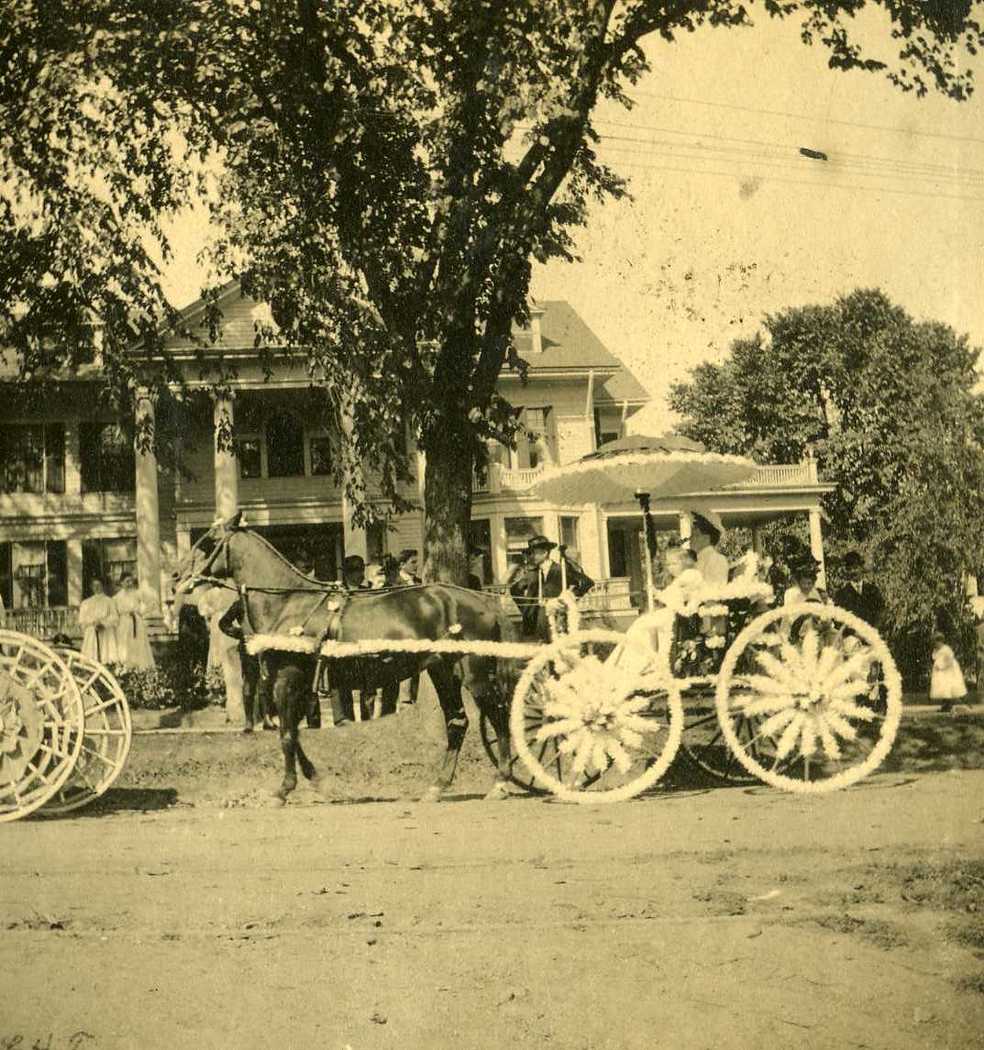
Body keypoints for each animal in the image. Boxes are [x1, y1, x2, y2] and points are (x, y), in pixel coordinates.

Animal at [172, 514, 518, 802]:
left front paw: (283, 790)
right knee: (457, 721)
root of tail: (483, 602)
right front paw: (318, 781)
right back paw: (438, 786)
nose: (176, 575)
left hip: (474, 673)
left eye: (209, 542)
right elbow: (293, 733)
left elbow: (287, 734)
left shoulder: (287, 679)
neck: (287, 602)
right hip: (443, 671)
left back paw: (501, 781)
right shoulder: (295, 684)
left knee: (499, 716)